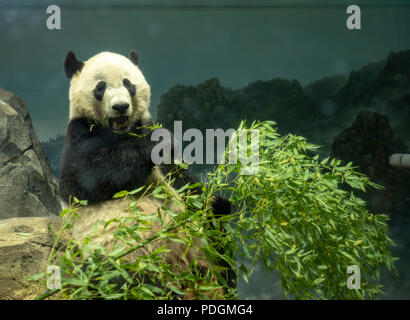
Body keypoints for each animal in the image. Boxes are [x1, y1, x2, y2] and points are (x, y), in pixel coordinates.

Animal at [57, 50, 234, 298]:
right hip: (123, 256)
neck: (123, 133)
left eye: (128, 83)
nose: (121, 107)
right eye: (100, 87)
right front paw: (158, 141)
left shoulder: (164, 160)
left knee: (218, 239)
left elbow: (185, 182)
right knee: (126, 281)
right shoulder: (79, 135)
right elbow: (86, 178)